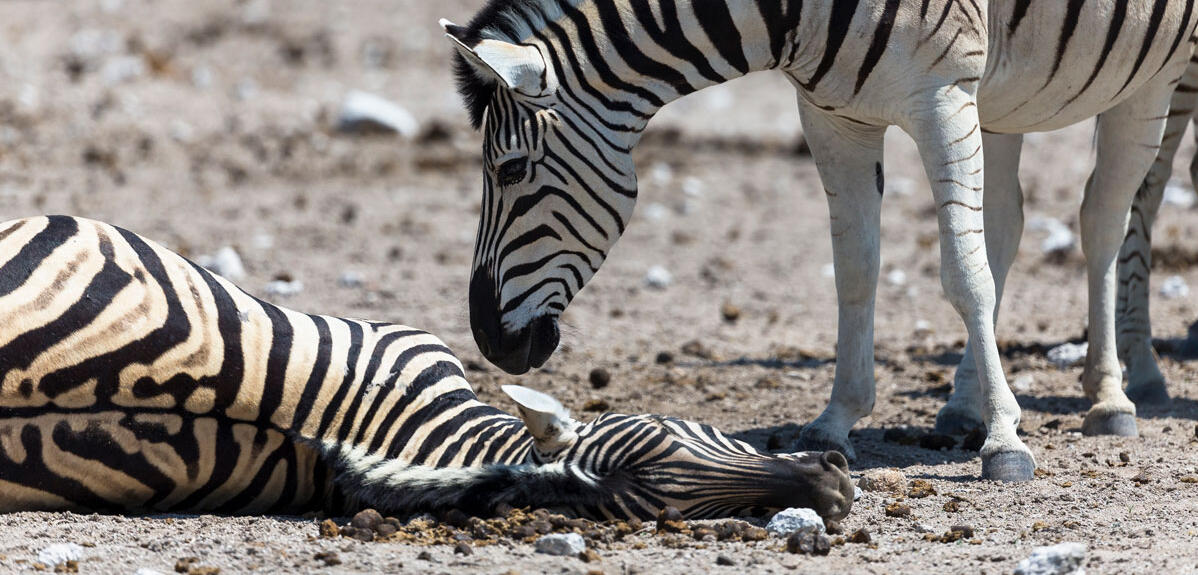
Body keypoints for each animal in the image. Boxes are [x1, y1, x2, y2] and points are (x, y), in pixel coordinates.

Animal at [440, 0, 1198, 482]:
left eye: (510, 171)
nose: (491, 341)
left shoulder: (941, 95)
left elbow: (963, 273)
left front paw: (1006, 441)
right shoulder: (836, 116)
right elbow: (856, 267)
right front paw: (837, 419)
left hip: (1153, 73)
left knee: (1105, 217)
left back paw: (1110, 395)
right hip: (1003, 96)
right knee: (1009, 225)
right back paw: (964, 403)